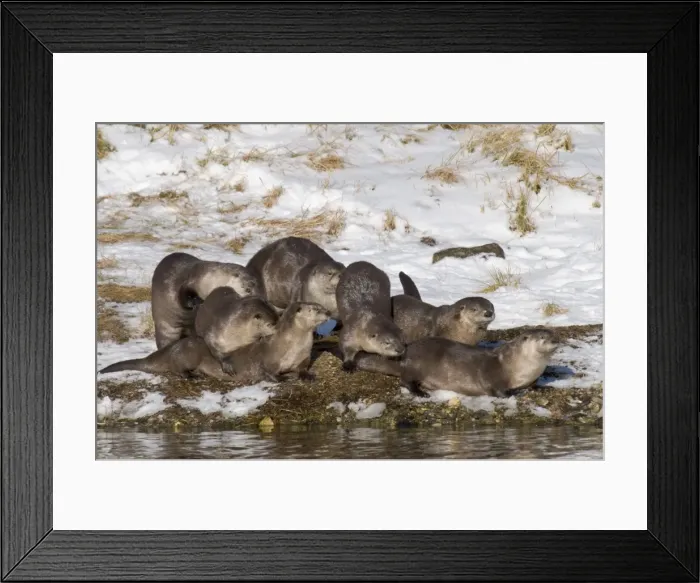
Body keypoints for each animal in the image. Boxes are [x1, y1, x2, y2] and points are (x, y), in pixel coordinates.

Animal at [354, 329, 558, 397]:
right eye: (542, 337)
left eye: (551, 333)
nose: (554, 339)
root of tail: (404, 357)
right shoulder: (492, 374)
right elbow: (497, 390)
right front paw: (512, 393)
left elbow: (534, 384)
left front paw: (543, 387)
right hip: (417, 366)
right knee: (405, 381)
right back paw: (421, 393)